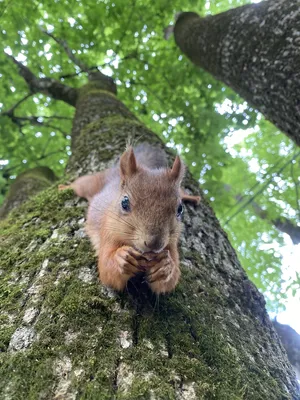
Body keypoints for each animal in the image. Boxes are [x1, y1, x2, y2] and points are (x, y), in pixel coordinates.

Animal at [59, 145, 200, 294]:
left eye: (180, 209)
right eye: (124, 202)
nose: (154, 244)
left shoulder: (171, 244)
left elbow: (171, 280)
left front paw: (165, 266)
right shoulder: (107, 231)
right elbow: (106, 269)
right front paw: (122, 258)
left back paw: (192, 197)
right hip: (91, 182)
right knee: (79, 184)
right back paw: (63, 187)